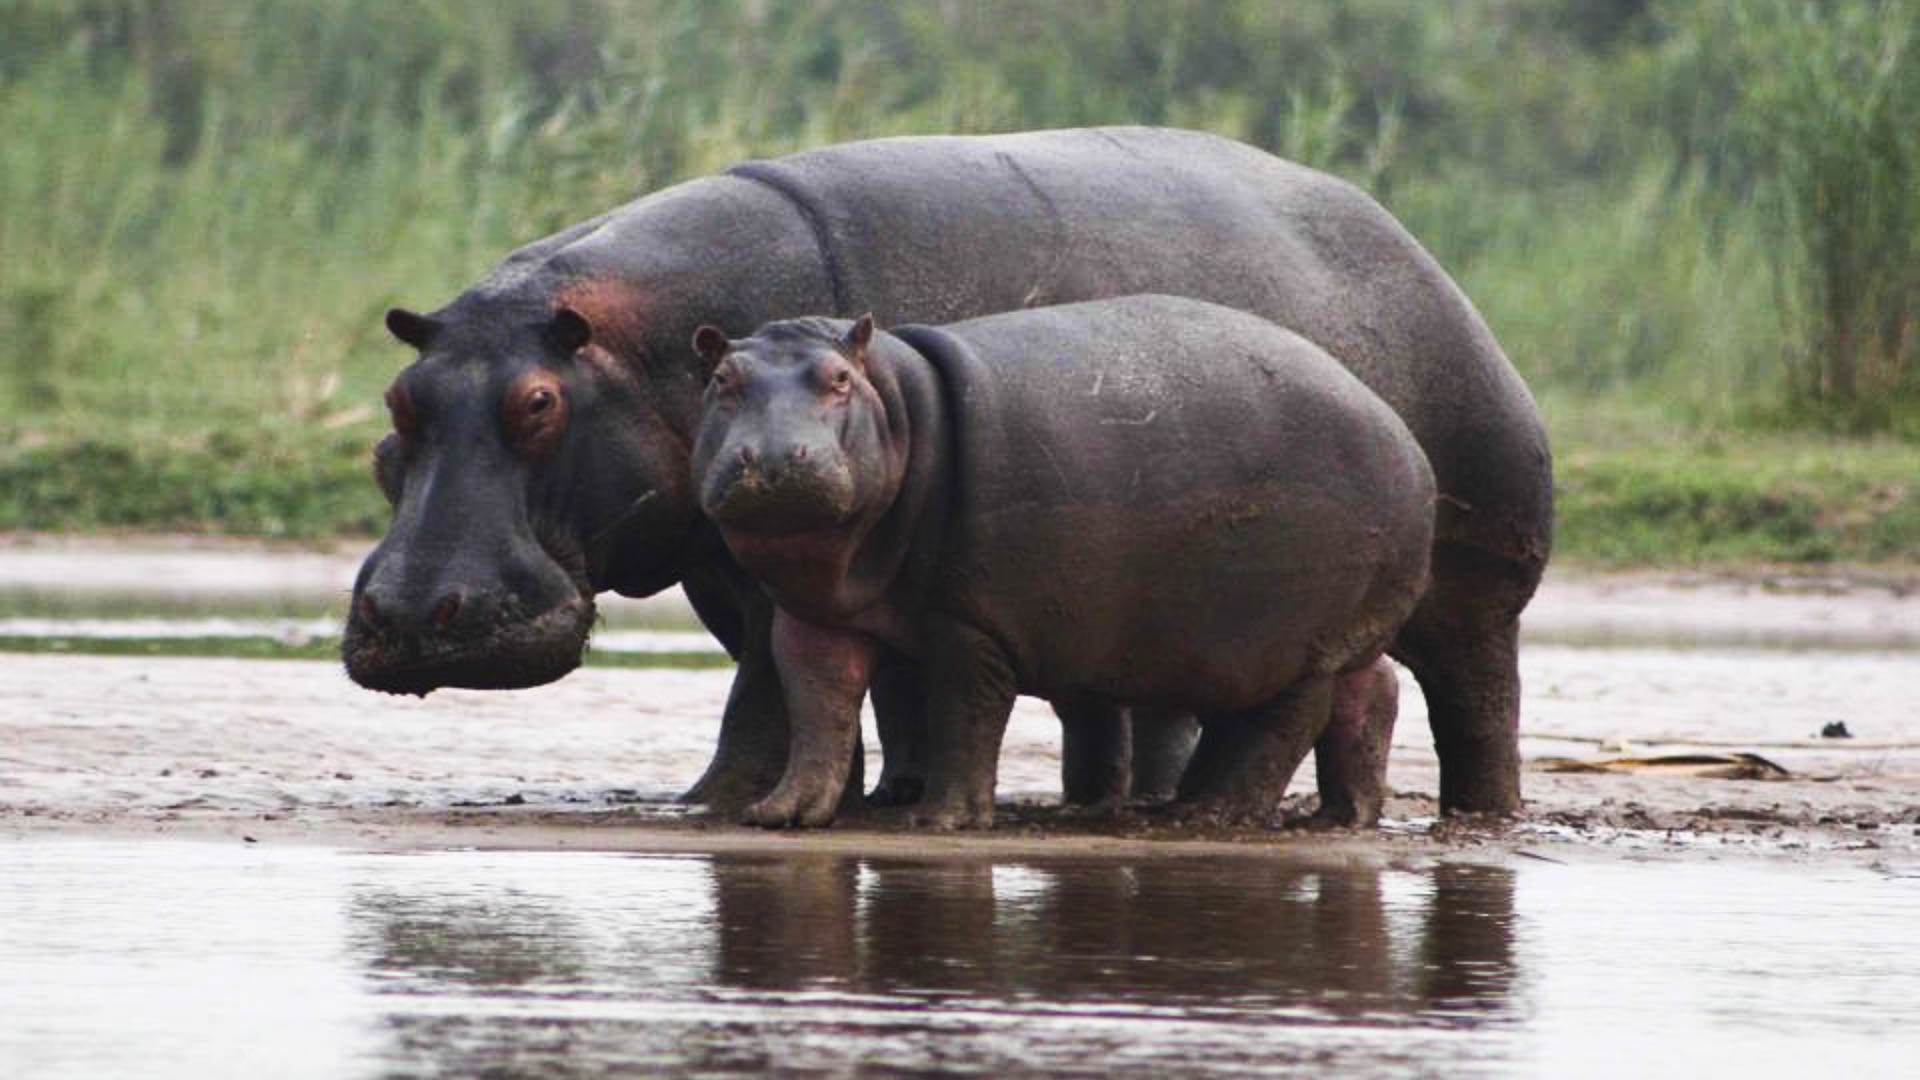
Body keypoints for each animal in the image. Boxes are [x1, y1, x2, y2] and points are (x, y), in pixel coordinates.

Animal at [689, 298, 1434, 828]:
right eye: (722, 380)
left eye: (840, 380)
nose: (775, 458)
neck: (896, 406)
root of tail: (1404, 437)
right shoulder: (814, 615)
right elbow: (819, 704)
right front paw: (779, 813)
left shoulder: (973, 626)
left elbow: (965, 714)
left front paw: (942, 821)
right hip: (1289, 640)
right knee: (1370, 691)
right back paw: (1333, 815)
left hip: (1296, 638)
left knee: (1287, 720)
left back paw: (1211, 813)